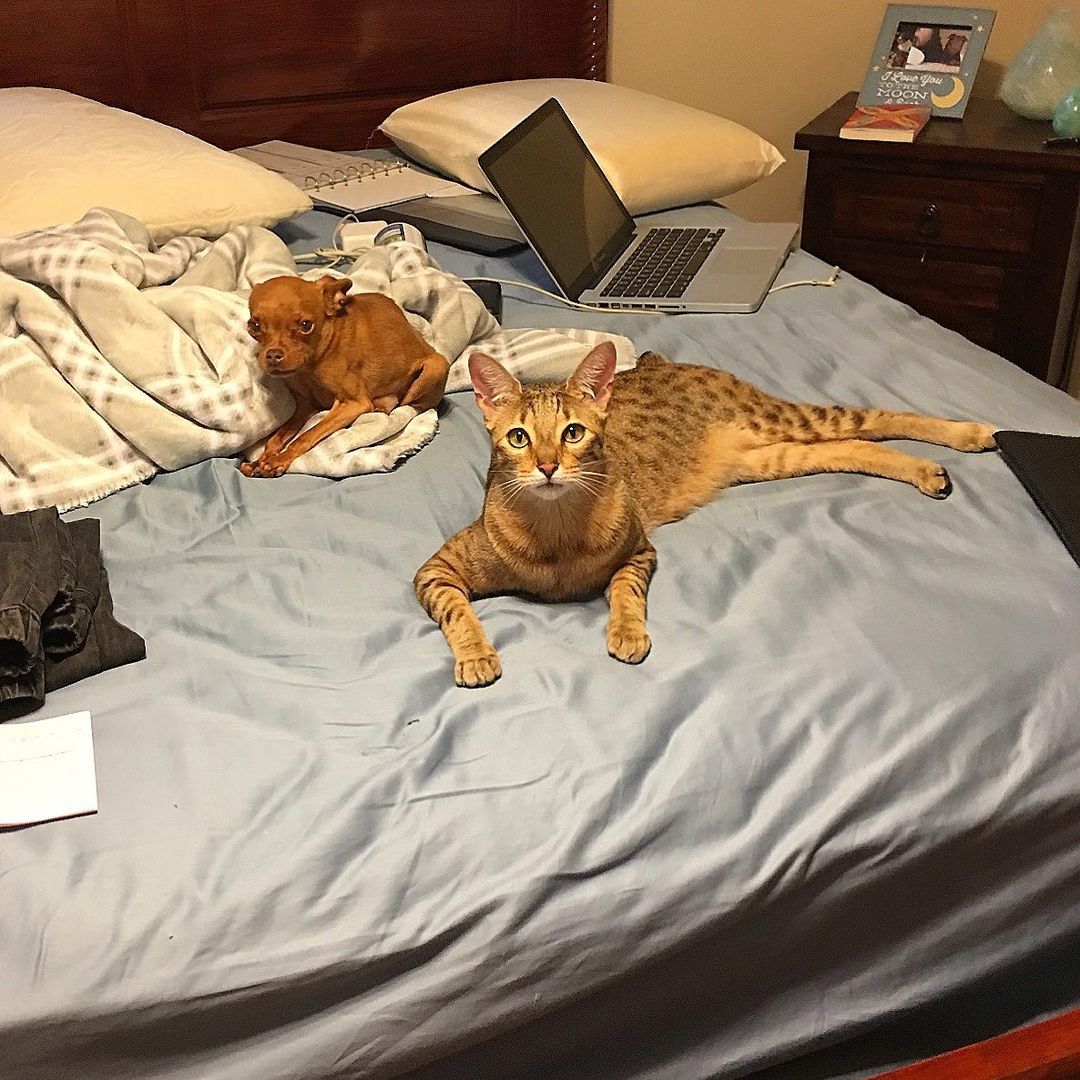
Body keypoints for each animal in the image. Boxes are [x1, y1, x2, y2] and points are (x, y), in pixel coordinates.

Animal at [243, 276, 449, 479]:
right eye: (254, 325)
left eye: (305, 325)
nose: (273, 355)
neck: (309, 369)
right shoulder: (305, 406)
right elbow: (277, 437)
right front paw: (261, 460)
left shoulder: (353, 404)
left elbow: (306, 435)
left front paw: (278, 460)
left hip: (435, 368)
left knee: (412, 404)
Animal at [412, 341, 993, 686]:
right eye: (518, 438)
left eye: (573, 432)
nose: (549, 466)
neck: (557, 530)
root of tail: (657, 361)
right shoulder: (435, 571)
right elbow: (457, 611)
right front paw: (476, 656)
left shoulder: (640, 551)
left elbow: (624, 592)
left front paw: (627, 631)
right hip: (770, 456)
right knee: (855, 445)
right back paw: (926, 471)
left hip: (781, 420)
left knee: (877, 417)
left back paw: (967, 435)